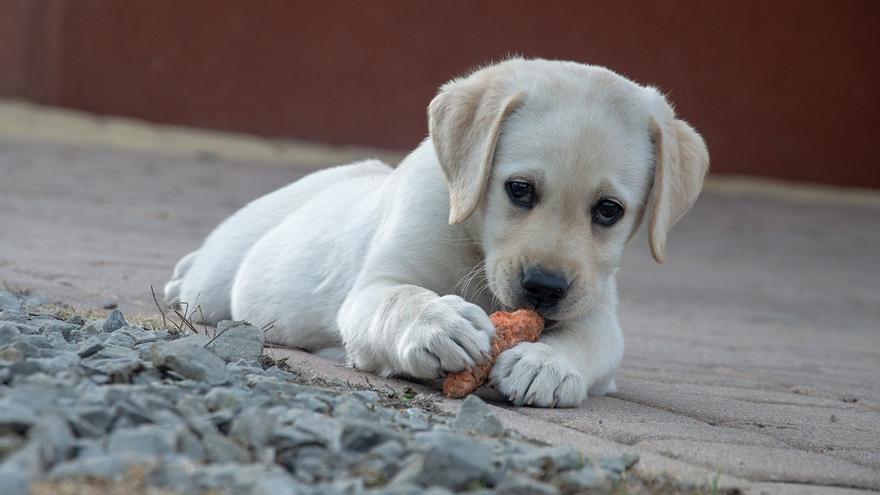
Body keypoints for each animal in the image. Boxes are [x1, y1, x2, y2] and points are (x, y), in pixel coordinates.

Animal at [165, 58, 712, 406]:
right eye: (519, 189)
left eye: (608, 211)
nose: (544, 288)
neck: (474, 243)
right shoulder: (372, 289)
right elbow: (399, 298)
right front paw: (438, 324)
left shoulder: (598, 310)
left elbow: (588, 342)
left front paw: (547, 364)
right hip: (216, 281)